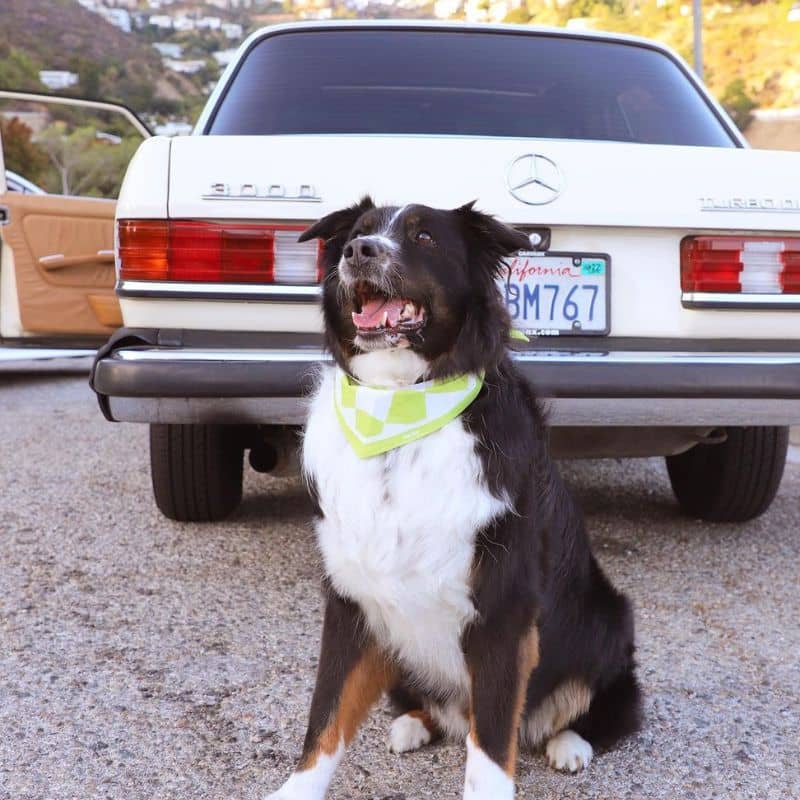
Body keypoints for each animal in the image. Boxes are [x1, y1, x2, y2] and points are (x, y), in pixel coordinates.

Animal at [266, 195, 640, 800]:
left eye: (425, 238)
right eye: (361, 231)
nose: (358, 252)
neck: (399, 407)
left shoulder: (504, 611)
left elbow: (491, 745)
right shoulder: (352, 599)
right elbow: (325, 715)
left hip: (609, 620)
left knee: (598, 709)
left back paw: (570, 744)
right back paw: (413, 723)